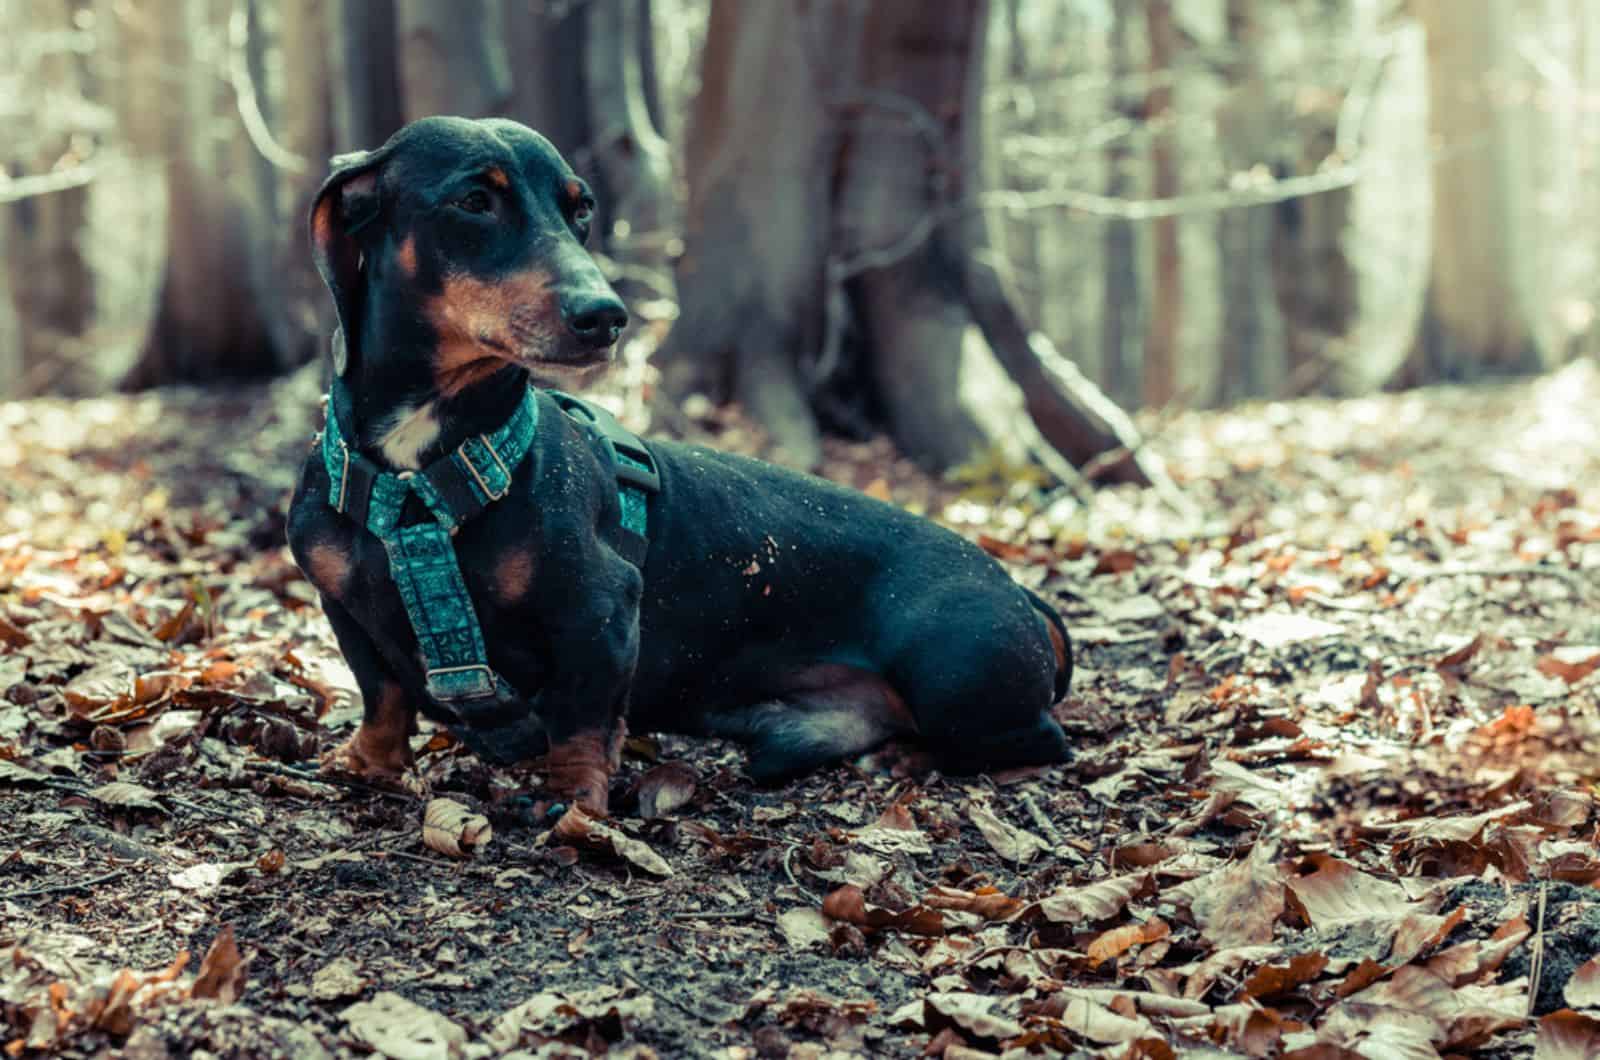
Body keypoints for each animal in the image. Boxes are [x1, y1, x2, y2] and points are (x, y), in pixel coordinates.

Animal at [288, 118, 1068, 813]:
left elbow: (580, 716)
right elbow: (383, 694)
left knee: (1041, 740)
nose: (605, 317)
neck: (418, 478)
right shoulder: (343, 606)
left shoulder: (600, 606)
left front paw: (570, 796)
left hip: (954, 673)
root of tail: (1019, 591)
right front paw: (367, 763)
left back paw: (916, 758)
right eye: (474, 201)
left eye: (580, 209)